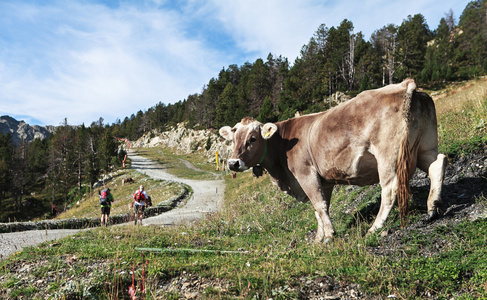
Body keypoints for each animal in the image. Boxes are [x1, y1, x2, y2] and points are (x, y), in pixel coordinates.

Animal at [219, 78, 448, 243]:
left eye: (253, 138)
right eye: (233, 139)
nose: (232, 163)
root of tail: (405, 85)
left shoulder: (305, 173)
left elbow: (318, 205)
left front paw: (329, 236)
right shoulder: (325, 180)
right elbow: (320, 208)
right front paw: (319, 238)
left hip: (388, 154)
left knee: (390, 188)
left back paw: (374, 228)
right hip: (423, 145)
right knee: (438, 162)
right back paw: (432, 207)